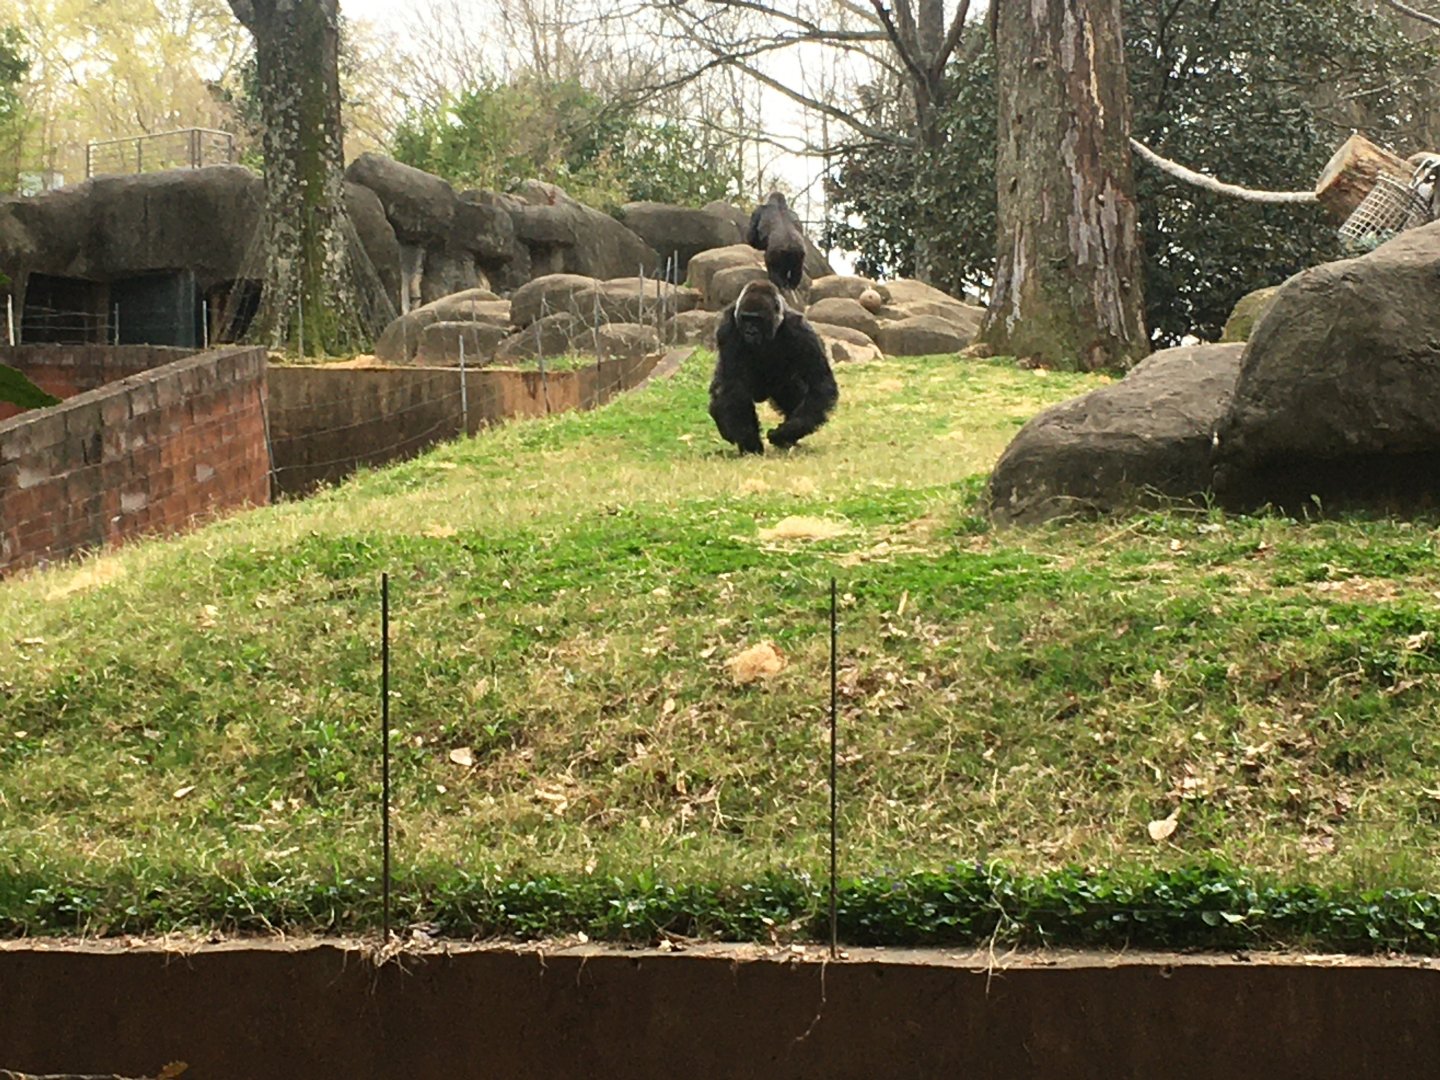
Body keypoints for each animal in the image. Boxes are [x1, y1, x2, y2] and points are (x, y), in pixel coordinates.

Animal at [709, 280, 838, 454]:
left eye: (757, 320)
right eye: (746, 319)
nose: (750, 332)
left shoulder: (801, 331)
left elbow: (819, 383)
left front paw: (786, 432)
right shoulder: (728, 328)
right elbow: (734, 386)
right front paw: (749, 442)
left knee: (793, 390)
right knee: (720, 392)